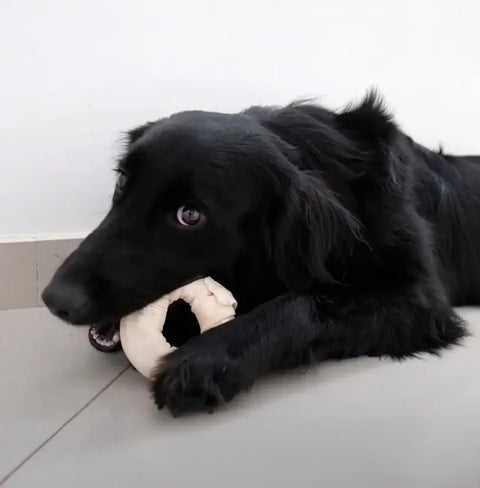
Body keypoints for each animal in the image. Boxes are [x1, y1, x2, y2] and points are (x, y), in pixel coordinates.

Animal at [43, 92, 478, 416]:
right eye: (122, 182)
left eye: (189, 215)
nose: (55, 299)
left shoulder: (419, 299)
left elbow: (305, 302)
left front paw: (206, 359)